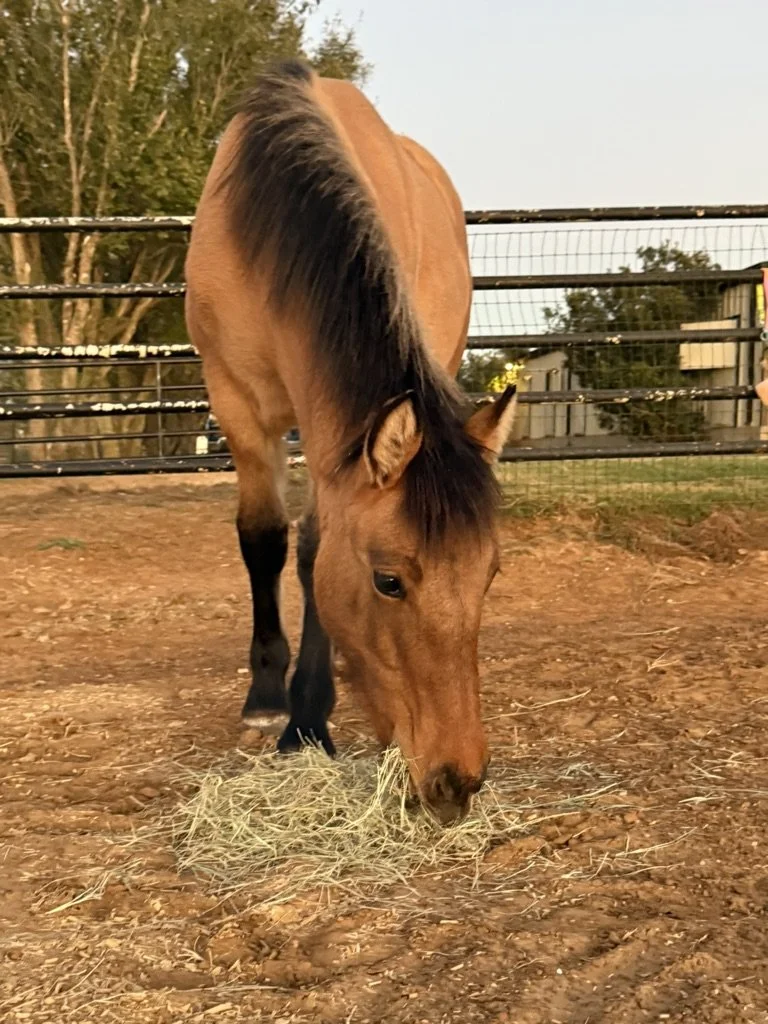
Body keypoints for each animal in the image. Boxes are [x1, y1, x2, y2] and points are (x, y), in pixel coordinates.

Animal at [184, 59, 517, 824]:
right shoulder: (236, 402)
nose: (456, 781)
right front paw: (270, 700)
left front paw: (310, 716)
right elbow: (263, 537)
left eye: (490, 574)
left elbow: (312, 547)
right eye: (388, 581)